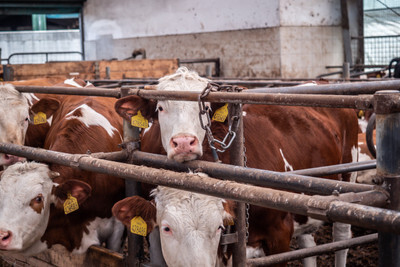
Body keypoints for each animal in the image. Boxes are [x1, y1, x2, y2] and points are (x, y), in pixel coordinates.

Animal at [114, 67, 358, 267]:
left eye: (206, 109)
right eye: (160, 107)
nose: (184, 142)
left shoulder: (279, 234)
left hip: (348, 174)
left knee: (342, 237)